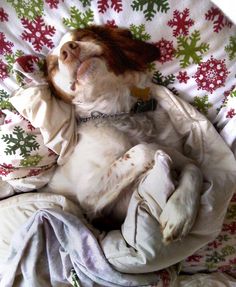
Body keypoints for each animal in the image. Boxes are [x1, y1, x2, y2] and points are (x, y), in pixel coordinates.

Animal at [45, 25, 202, 244]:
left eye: (83, 36)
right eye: (53, 66)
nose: (68, 49)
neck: (120, 113)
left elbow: (194, 166)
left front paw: (180, 212)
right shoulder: (87, 193)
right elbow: (146, 149)